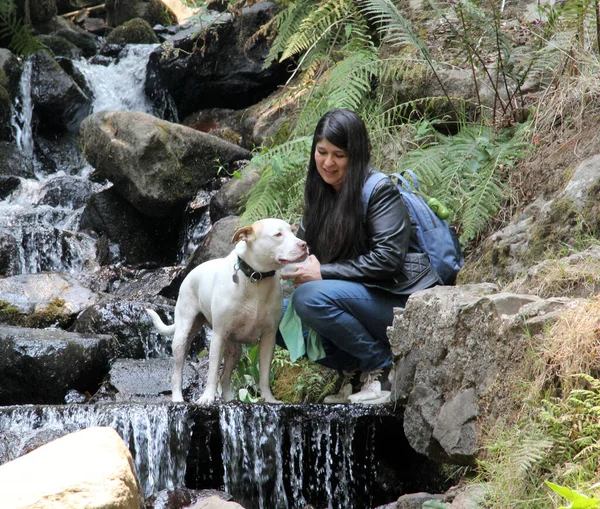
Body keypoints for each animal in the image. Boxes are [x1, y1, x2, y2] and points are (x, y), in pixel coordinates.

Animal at [146, 218, 310, 404]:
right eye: (278, 234)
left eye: (292, 232)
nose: (304, 245)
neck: (256, 278)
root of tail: (191, 271)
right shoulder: (218, 336)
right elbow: (212, 370)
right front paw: (207, 397)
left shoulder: (269, 337)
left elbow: (264, 374)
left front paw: (269, 399)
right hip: (183, 334)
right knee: (178, 371)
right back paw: (178, 398)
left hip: (234, 349)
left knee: (225, 376)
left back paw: (229, 398)